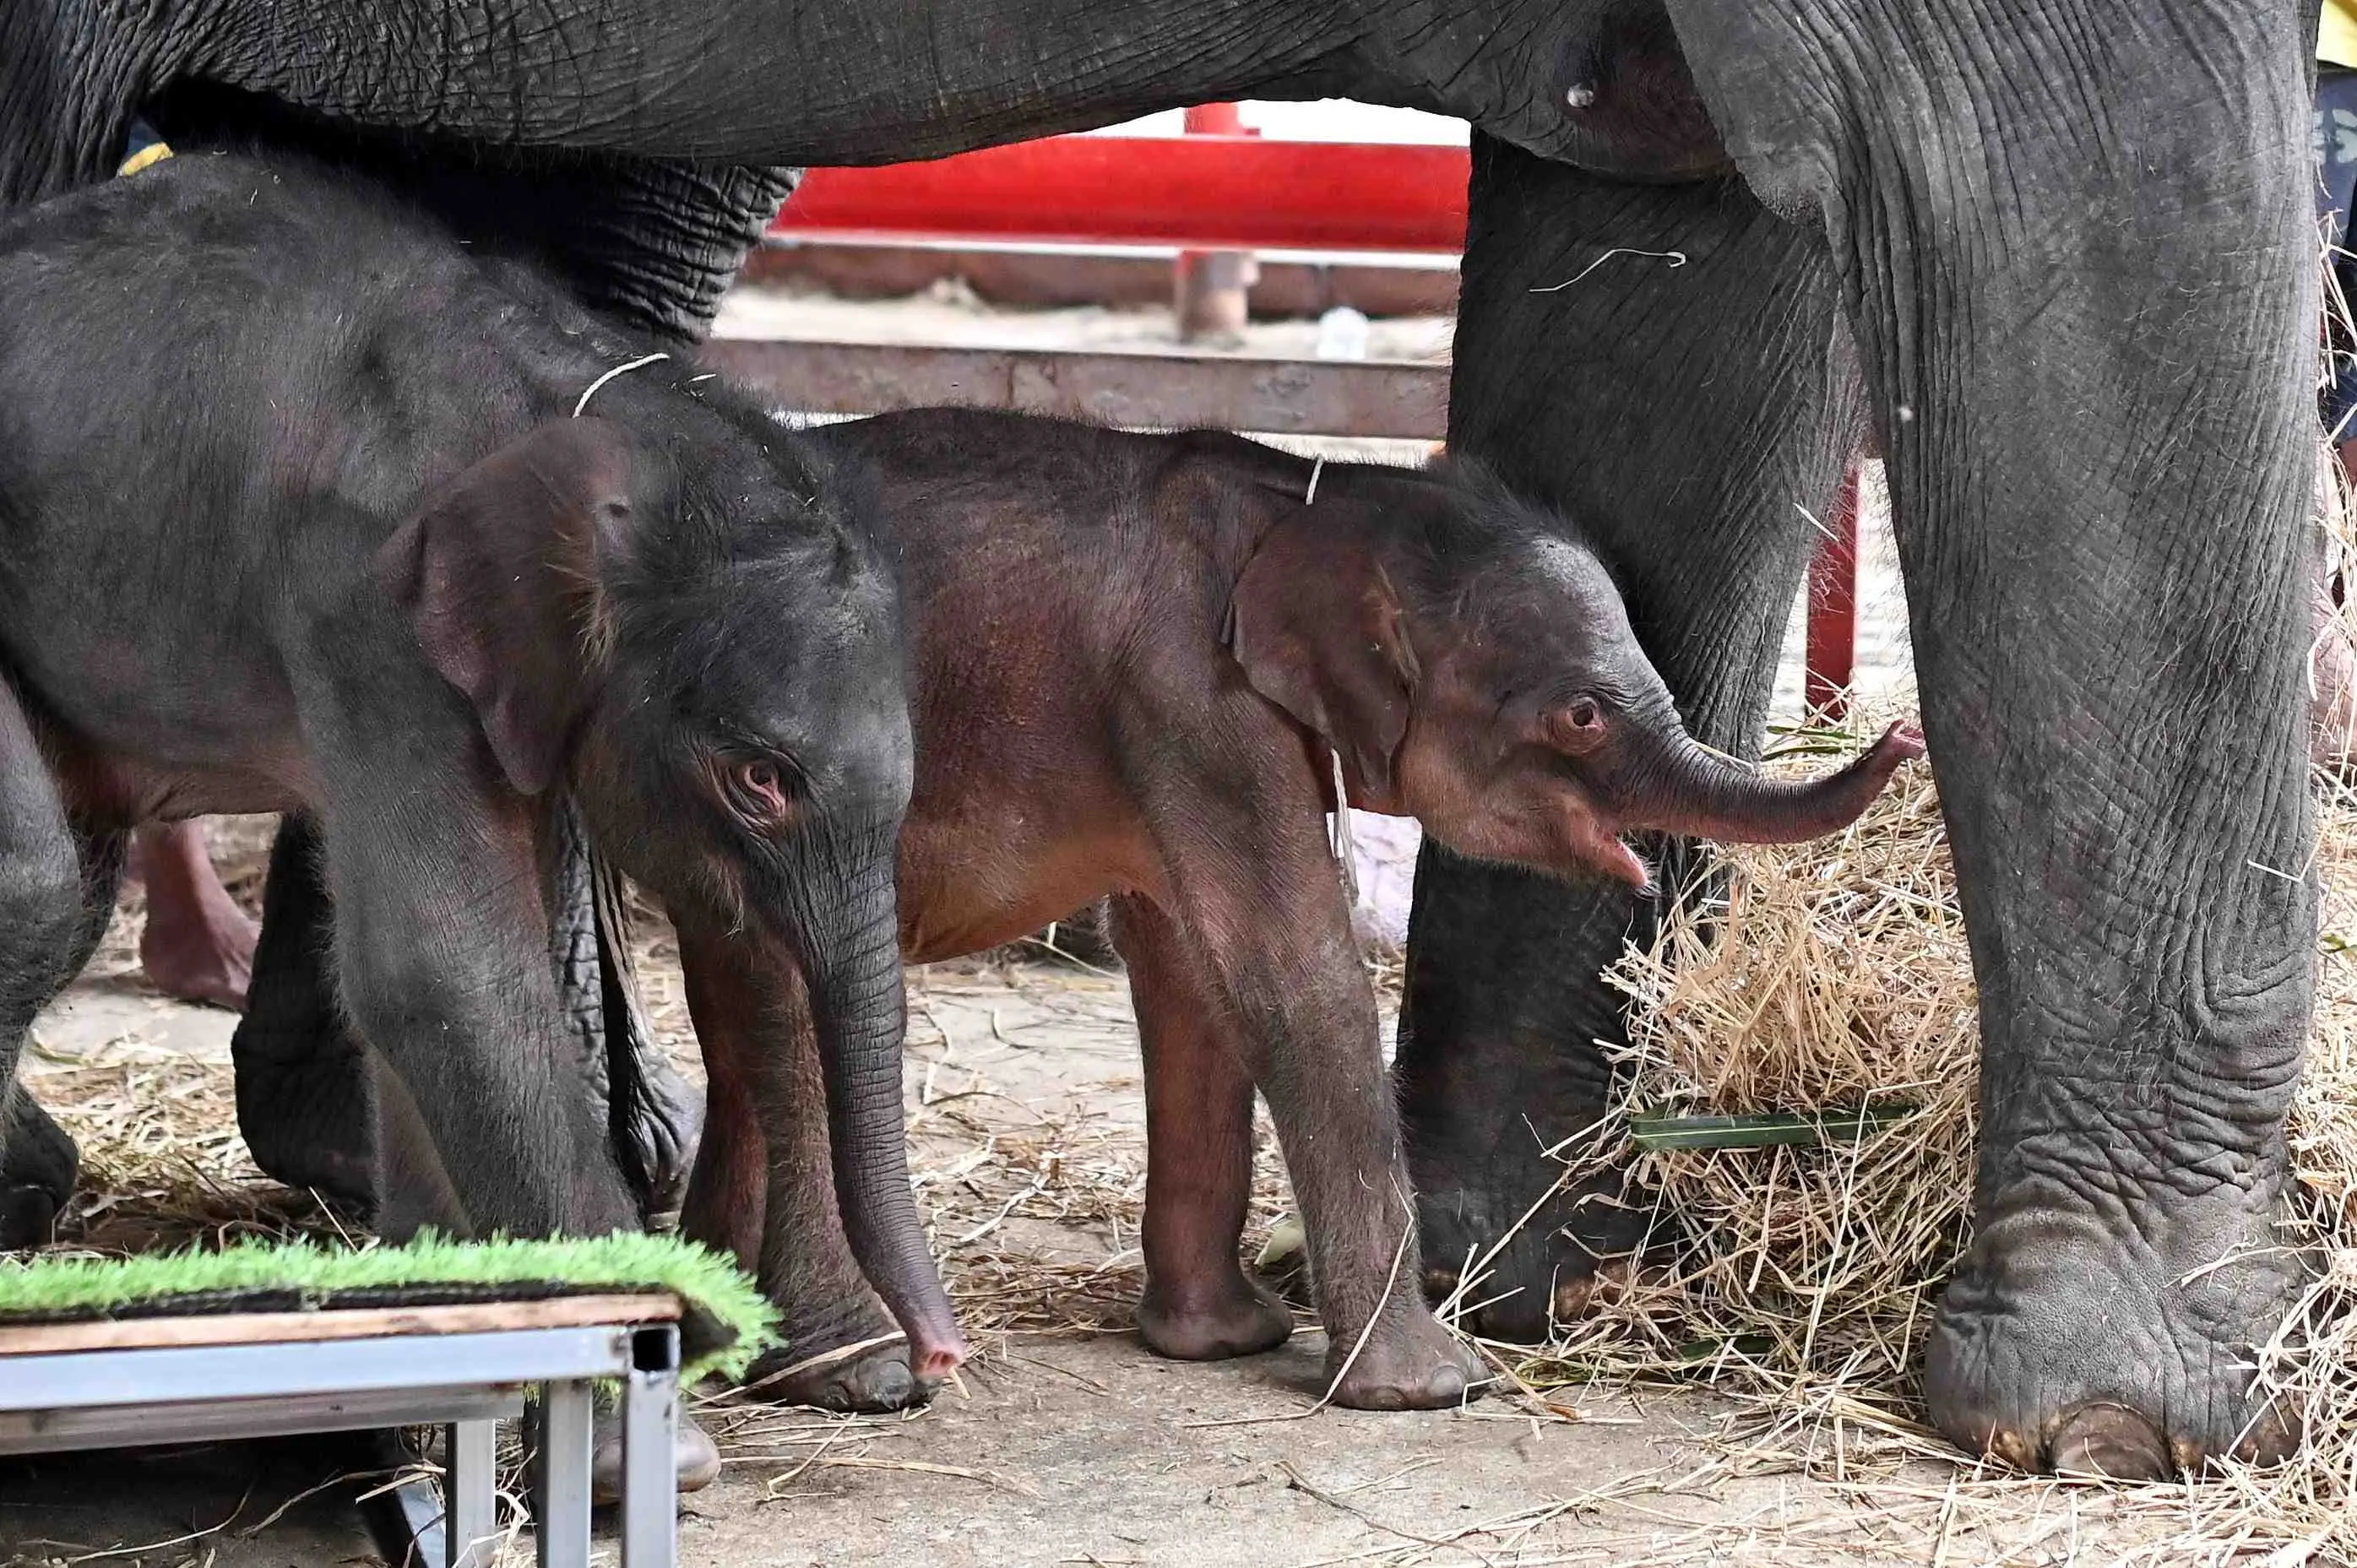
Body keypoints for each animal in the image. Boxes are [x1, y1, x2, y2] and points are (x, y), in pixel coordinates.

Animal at [0, 149, 960, 1381]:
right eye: (760, 781)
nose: (943, 1359)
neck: (590, 399)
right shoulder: (364, 609)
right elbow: (444, 970)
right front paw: (647, 1332)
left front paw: (440, 1281)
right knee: (37, 885)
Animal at [676, 407, 1921, 1411]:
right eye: (1578, 716)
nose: (1903, 737)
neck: (1315, 496)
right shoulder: (1193, 700)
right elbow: (1290, 970)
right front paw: (1431, 1391)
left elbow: (1187, 971)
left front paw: (1221, 1343)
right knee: (782, 1008)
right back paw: (851, 1376)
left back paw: (703, 1334)